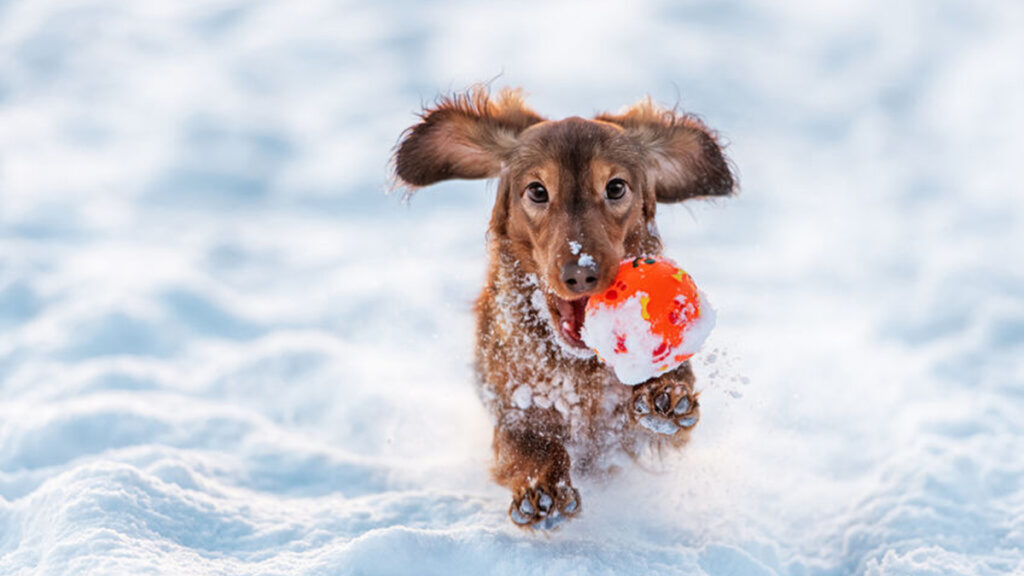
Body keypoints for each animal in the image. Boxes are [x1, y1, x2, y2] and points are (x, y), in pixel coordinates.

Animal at [391, 87, 737, 528]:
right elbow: (528, 444)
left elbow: (669, 402)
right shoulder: (512, 407)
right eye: (538, 191)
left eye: (616, 187)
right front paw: (543, 489)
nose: (581, 273)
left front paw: (664, 394)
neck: (578, 368)